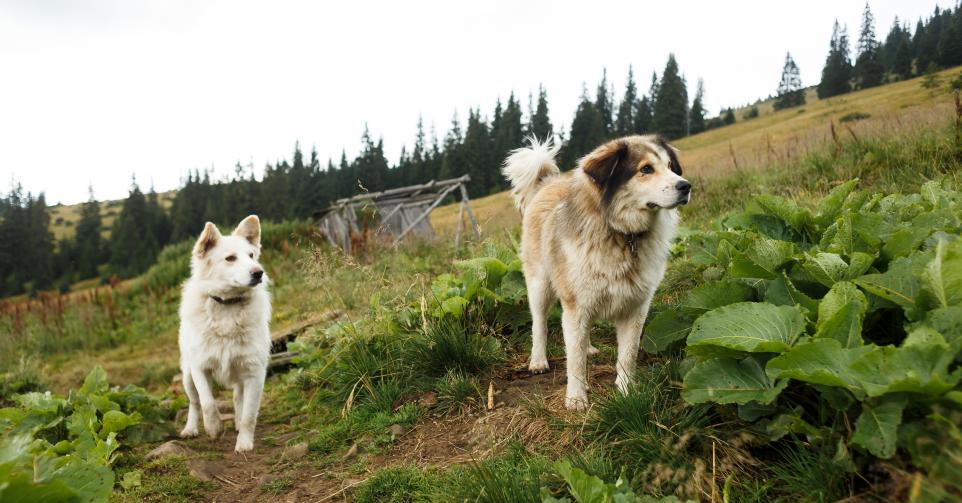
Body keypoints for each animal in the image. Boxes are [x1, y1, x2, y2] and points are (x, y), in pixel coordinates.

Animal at [178, 216, 270, 452]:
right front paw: (214, 429)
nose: (258, 272)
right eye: (230, 258)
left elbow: (249, 415)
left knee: (238, 399)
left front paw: (244, 443)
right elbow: (207, 403)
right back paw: (191, 429)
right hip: (187, 377)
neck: (228, 306)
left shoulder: (254, 372)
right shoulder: (200, 368)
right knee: (194, 402)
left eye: (251, 255)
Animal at [502, 136, 688, 412]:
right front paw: (576, 397)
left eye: (669, 166)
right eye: (646, 169)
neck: (621, 235)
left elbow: (627, 354)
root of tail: (548, 181)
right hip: (540, 286)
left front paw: (626, 392)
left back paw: (588, 347)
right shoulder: (576, 305)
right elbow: (575, 359)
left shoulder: (635, 307)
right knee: (540, 324)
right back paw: (538, 360)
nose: (686, 186)